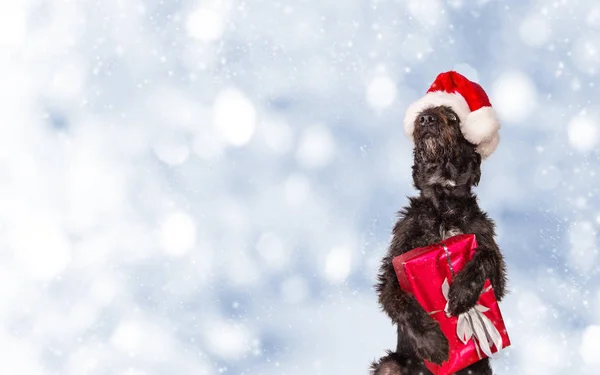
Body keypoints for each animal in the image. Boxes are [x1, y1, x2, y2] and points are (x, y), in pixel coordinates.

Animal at [370, 103, 506, 375]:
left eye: (452, 117)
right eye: (422, 112)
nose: (425, 119)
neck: (444, 207)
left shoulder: (493, 268)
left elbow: (486, 256)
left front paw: (461, 294)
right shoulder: (393, 268)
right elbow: (400, 300)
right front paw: (432, 342)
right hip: (390, 366)